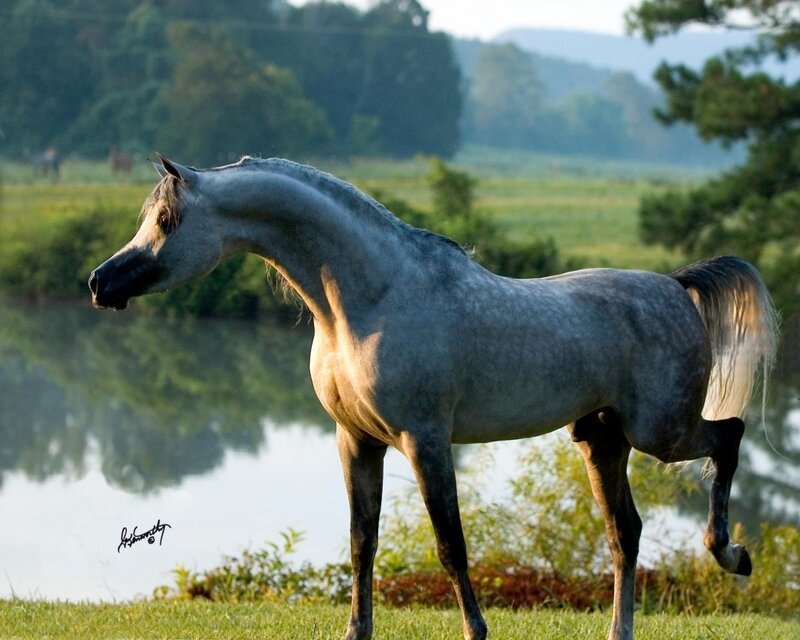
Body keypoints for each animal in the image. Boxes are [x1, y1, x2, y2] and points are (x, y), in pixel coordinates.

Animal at [88, 156, 778, 640]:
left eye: (168, 221)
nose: (101, 282)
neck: (370, 300)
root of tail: (677, 285)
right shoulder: (356, 442)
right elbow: (361, 542)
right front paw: (356, 630)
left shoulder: (424, 441)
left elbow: (450, 545)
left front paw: (477, 630)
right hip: (602, 438)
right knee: (625, 533)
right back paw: (624, 628)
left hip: (660, 430)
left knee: (728, 436)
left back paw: (732, 554)